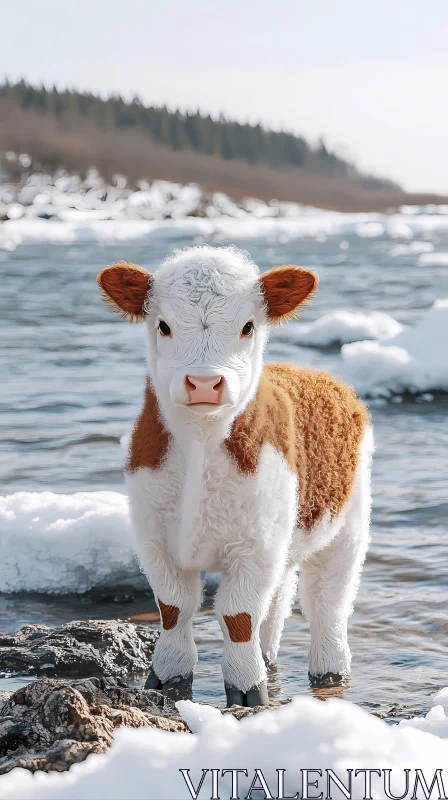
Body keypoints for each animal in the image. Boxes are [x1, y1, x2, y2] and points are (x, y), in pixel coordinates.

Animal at [99, 245, 374, 708]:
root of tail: (318, 374)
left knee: (328, 603)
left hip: (347, 526)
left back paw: (329, 671)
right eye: (163, 325)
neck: (201, 442)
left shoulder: (254, 546)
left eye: (248, 326)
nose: (204, 382)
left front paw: (248, 691)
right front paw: (167, 680)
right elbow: (175, 609)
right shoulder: (154, 538)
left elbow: (237, 615)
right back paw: (269, 657)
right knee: (277, 603)